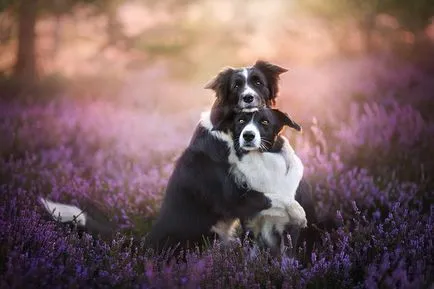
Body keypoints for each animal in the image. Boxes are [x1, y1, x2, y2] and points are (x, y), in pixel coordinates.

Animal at [40, 59, 318, 258]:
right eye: (237, 85)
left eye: (258, 82)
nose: (248, 97)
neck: (229, 133)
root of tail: (145, 244)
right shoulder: (231, 195)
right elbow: (273, 197)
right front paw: (299, 213)